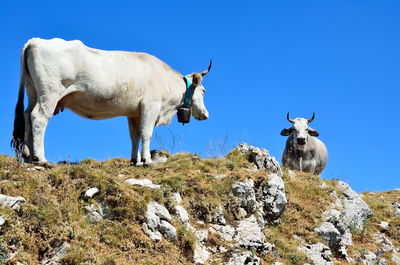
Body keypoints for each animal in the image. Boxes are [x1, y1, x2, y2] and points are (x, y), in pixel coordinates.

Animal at [10, 37, 211, 165]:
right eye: (204, 91)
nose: (206, 114)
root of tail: (35, 40)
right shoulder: (150, 106)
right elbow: (146, 134)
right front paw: (147, 160)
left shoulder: (134, 112)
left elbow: (135, 136)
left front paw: (135, 161)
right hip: (50, 92)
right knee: (38, 118)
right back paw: (41, 159)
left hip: (33, 91)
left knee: (27, 115)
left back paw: (28, 155)